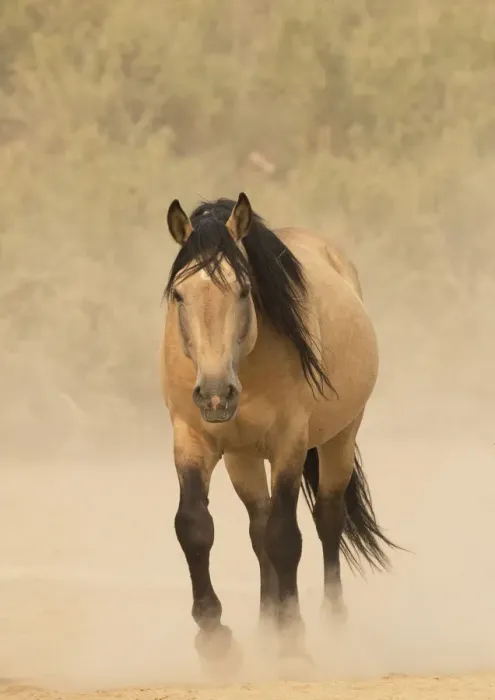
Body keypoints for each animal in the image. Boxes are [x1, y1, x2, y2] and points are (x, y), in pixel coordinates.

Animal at [160, 192, 400, 670]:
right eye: (179, 293)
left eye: (244, 289)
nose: (215, 394)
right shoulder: (192, 439)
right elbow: (195, 526)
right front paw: (216, 638)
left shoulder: (290, 444)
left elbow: (285, 536)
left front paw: (292, 641)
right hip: (242, 457)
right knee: (258, 527)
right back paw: (265, 627)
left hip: (339, 438)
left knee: (327, 519)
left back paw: (331, 623)